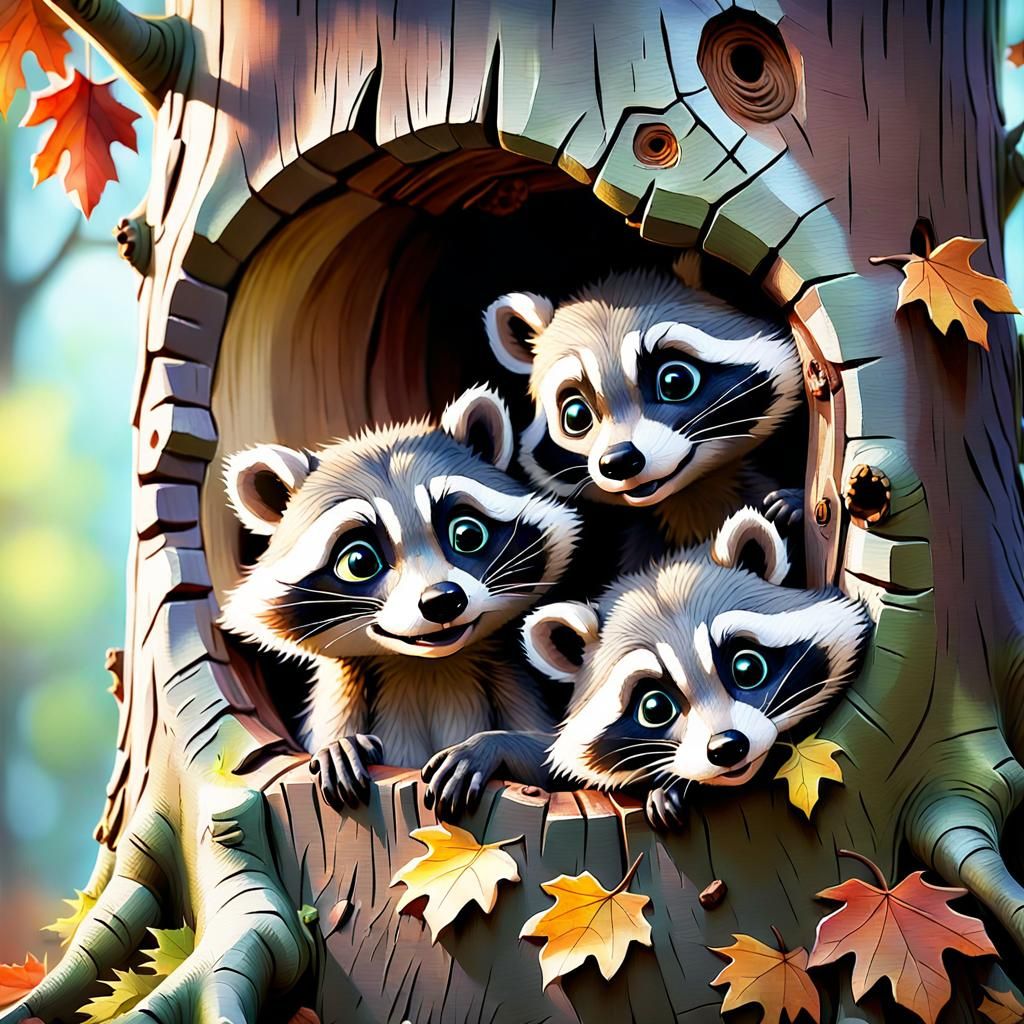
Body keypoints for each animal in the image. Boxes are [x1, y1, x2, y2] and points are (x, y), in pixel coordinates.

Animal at [220, 386, 580, 819]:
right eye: (359, 561)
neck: (426, 668)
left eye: (467, 534)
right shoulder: (343, 697)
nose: (442, 600)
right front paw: (337, 748)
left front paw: (489, 745)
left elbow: (558, 763)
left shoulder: (510, 679)